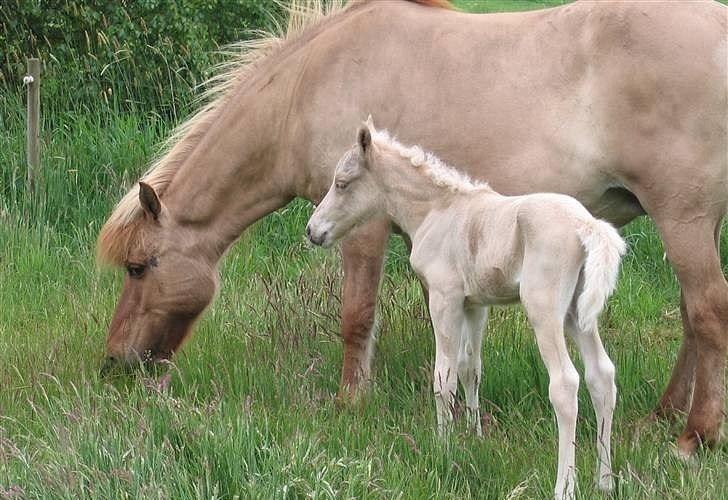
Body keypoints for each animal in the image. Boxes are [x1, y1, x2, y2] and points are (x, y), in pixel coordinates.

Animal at [98, 0, 728, 458]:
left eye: (138, 267)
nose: (116, 364)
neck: (309, 87)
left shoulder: (361, 233)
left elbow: (356, 318)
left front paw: (351, 403)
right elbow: (453, 345)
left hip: (684, 218)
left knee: (707, 312)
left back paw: (693, 436)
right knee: (690, 317)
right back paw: (663, 415)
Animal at [304, 122, 624, 500]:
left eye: (342, 182)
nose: (312, 231)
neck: (436, 211)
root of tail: (588, 226)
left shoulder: (445, 299)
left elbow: (444, 377)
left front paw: (443, 448)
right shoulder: (475, 305)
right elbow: (471, 367)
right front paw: (474, 436)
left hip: (544, 309)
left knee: (565, 384)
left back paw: (565, 486)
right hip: (577, 313)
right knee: (601, 376)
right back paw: (605, 481)